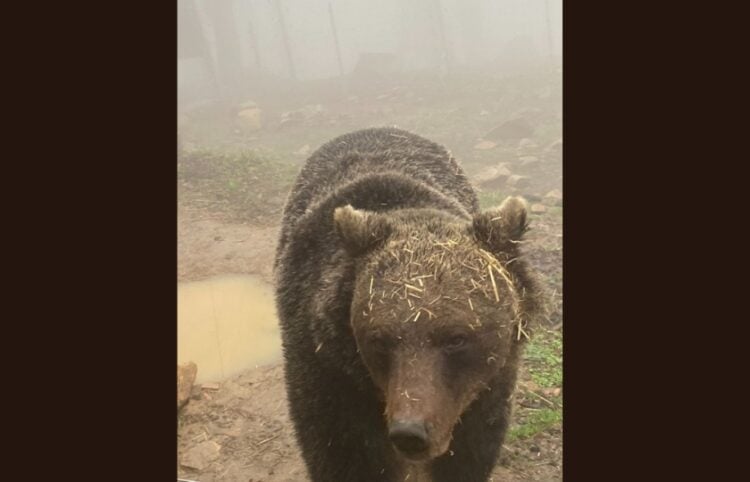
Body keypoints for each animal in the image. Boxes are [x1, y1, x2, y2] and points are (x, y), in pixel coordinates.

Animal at [274, 126, 544, 480]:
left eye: (457, 338)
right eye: (379, 338)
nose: (410, 433)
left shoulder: (488, 386)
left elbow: (470, 453)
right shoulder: (327, 368)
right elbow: (342, 454)